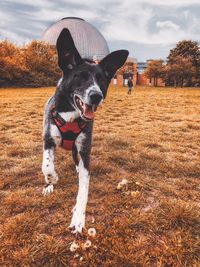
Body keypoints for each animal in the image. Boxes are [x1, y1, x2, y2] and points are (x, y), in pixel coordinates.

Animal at [42, 28, 129, 234]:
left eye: (102, 80)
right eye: (80, 76)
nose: (96, 96)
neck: (70, 114)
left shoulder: (84, 150)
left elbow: (84, 187)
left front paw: (78, 217)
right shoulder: (48, 140)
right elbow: (47, 165)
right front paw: (52, 179)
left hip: (76, 150)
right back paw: (49, 185)